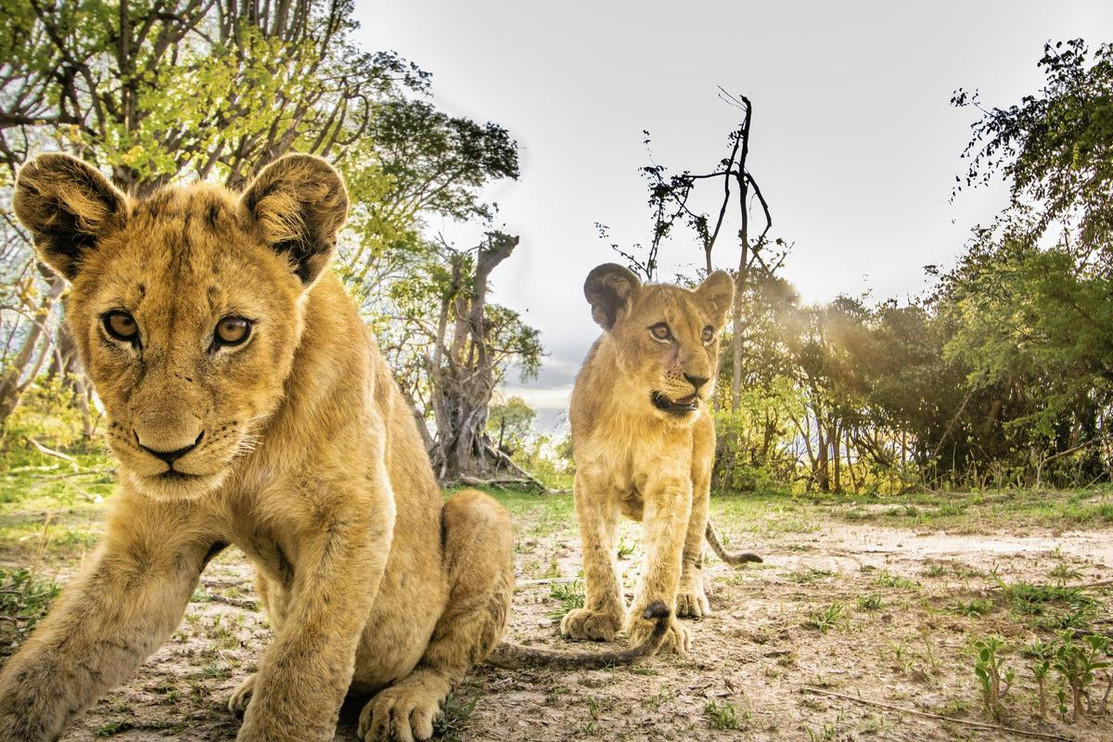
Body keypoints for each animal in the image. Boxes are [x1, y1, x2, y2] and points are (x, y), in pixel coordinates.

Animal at [0, 156, 666, 742]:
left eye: (232, 330)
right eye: (120, 325)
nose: (166, 451)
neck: (249, 449)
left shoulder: (357, 514)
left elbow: (305, 666)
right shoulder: (152, 553)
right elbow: (47, 666)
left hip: (480, 512)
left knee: (447, 658)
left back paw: (399, 704)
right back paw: (251, 684)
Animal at [560, 264, 761, 655]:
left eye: (707, 334)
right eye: (661, 332)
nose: (701, 379)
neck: (633, 414)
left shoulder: (672, 482)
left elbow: (665, 555)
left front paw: (658, 628)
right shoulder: (592, 480)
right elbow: (597, 553)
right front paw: (599, 616)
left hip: (701, 490)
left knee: (691, 551)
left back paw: (687, 597)